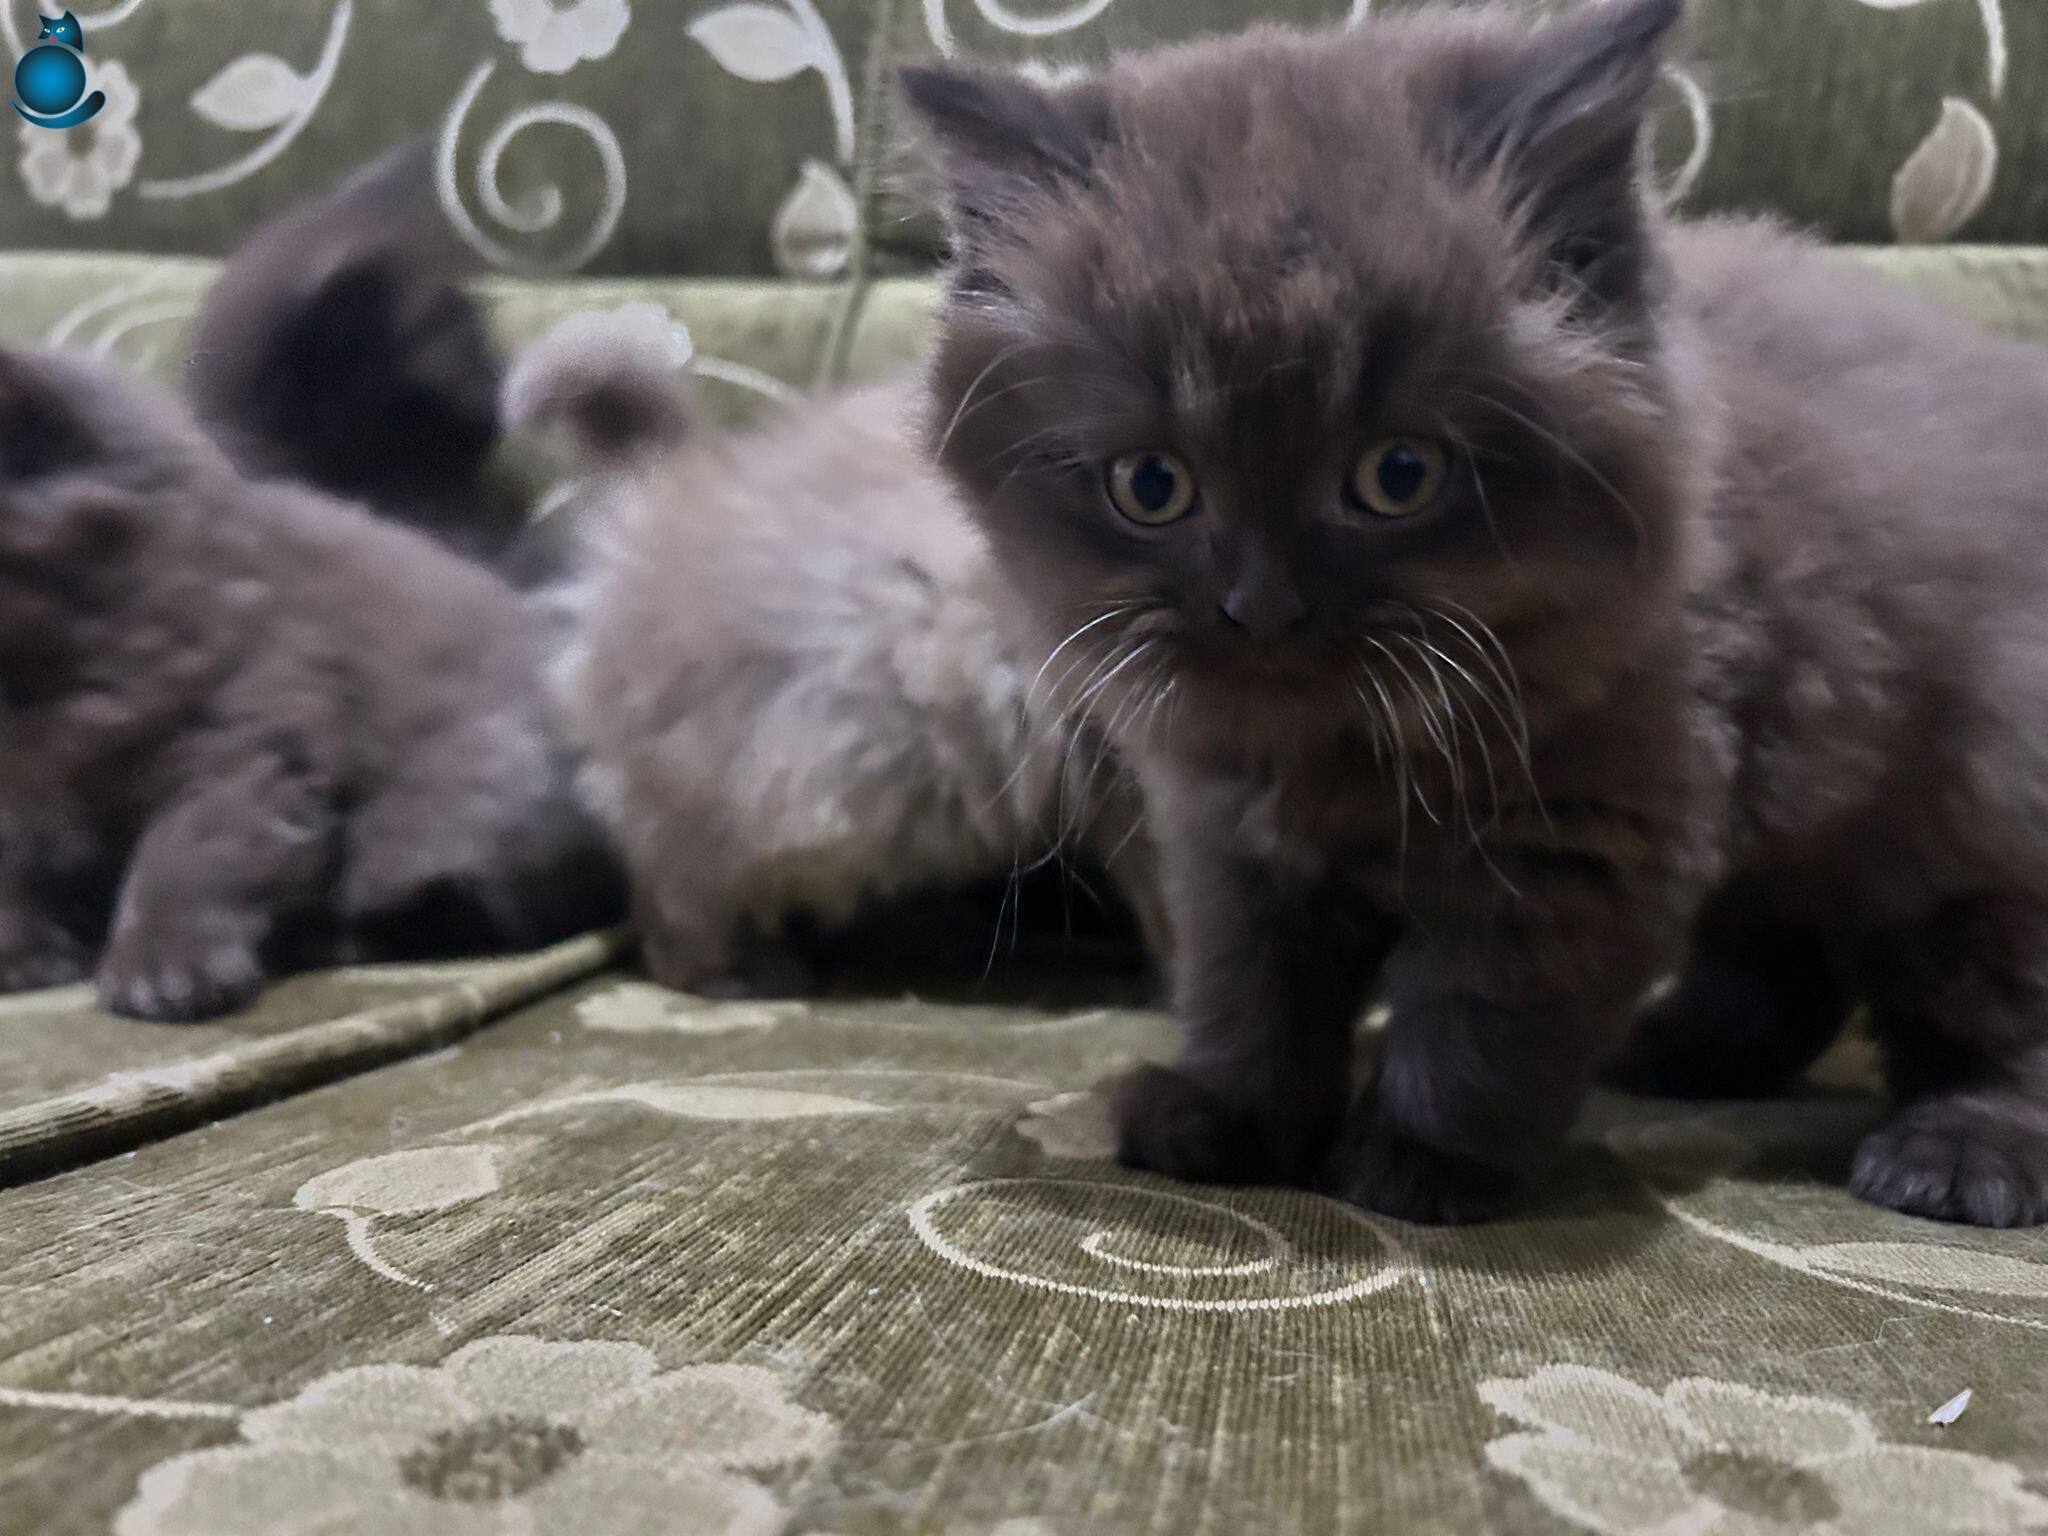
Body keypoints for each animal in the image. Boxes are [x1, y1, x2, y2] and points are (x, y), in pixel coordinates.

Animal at [0, 347, 622, 1020]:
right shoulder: (22, 802)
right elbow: (14, 880)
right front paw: (23, 956)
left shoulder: (240, 751)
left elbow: (184, 859)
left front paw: (164, 969)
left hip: (441, 815)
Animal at [902, 0, 2048, 1226]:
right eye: (1151, 486)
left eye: (1397, 474)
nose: (1260, 605)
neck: (1335, 746)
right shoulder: (1232, 848)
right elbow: (1249, 991)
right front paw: (1229, 1118)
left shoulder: (1573, 845)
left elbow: (1475, 1024)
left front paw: (1414, 1164)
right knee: (1787, 950)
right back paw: (1682, 1051)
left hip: (1969, 817)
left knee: (1996, 1002)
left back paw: (1958, 1151)